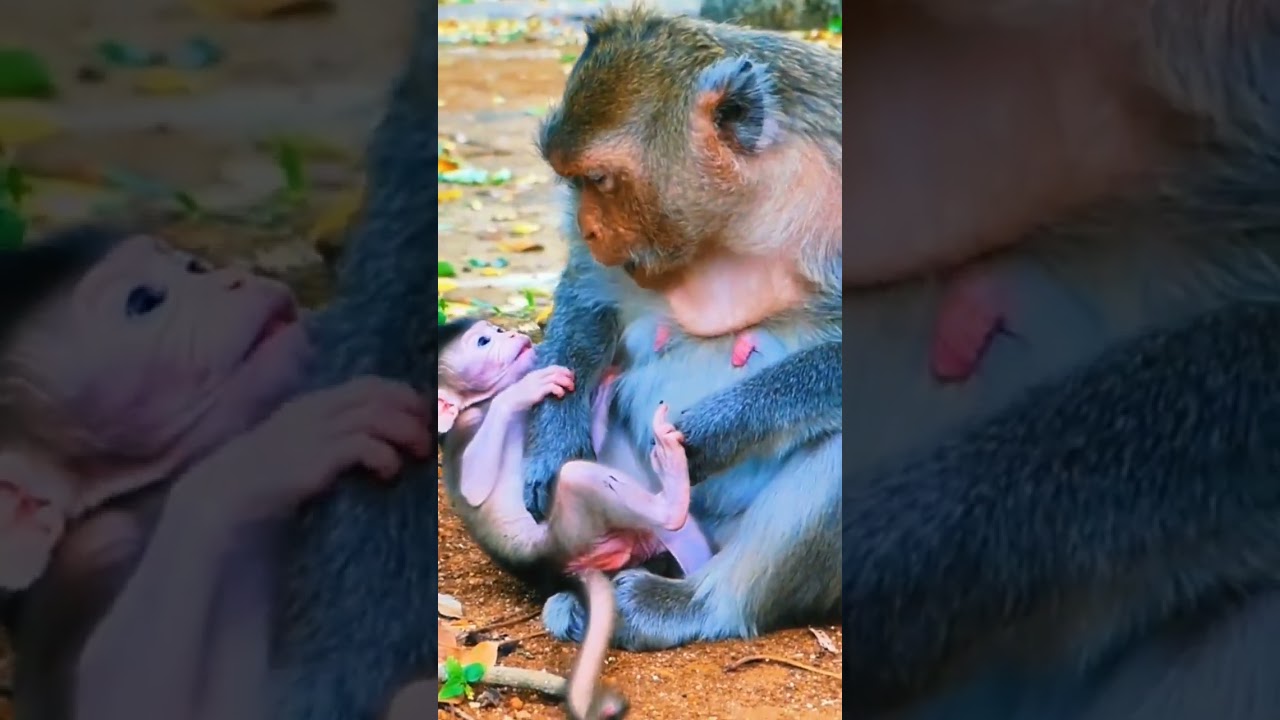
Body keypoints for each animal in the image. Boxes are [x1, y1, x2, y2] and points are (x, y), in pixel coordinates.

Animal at [437, 318, 713, 581]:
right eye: (483, 341)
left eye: (499, 330)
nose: (513, 334)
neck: (485, 400)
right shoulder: (466, 423)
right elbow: (473, 487)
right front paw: (525, 388)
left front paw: (605, 383)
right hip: (571, 535)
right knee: (576, 476)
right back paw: (671, 501)